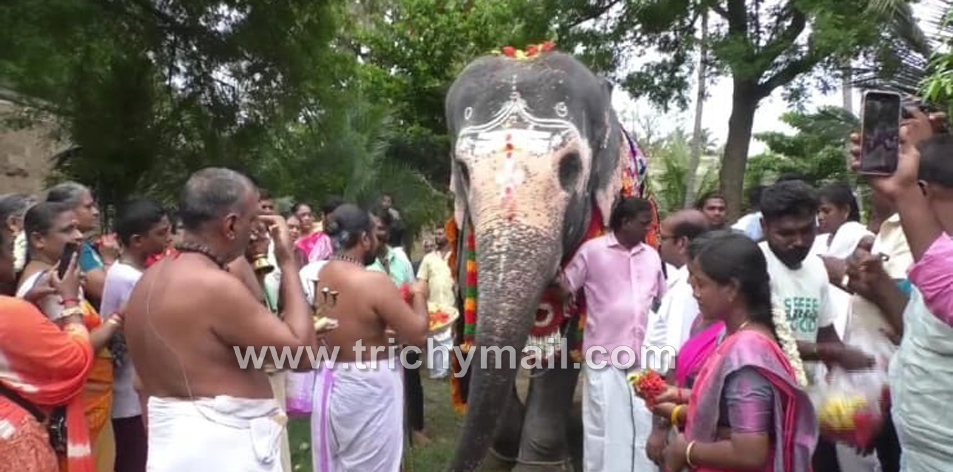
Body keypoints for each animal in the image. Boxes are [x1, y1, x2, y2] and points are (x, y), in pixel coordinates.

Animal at [444, 47, 658, 472]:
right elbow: (477, 332)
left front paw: (538, 464)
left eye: (571, 166)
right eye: (463, 170)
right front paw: (501, 454)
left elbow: (565, 345)